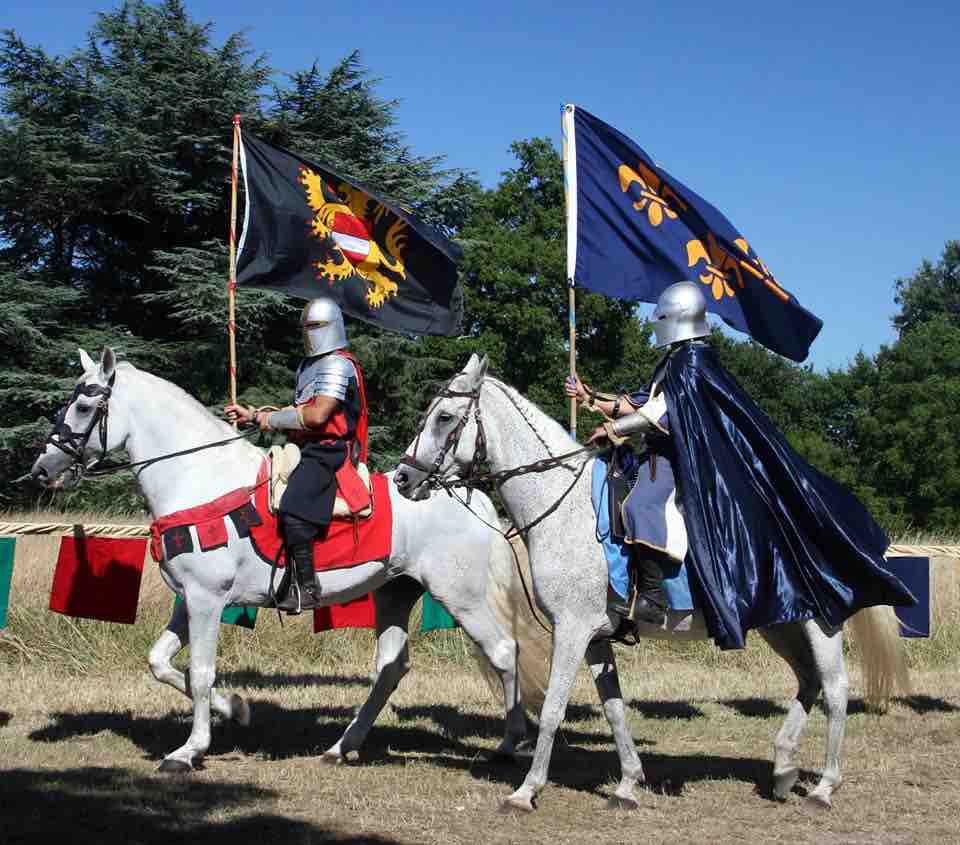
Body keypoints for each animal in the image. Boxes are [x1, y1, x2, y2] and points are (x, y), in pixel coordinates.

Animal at [390, 354, 908, 812]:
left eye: (445, 417)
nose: (403, 478)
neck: (565, 508)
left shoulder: (572, 629)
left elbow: (554, 708)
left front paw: (526, 792)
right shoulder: (595, 635)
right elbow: (614, 707)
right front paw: (628, 784)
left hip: (821, 623)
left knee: (835, 689)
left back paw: (823, 788)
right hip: (780, 621)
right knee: (808, 680)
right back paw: (782, 770)